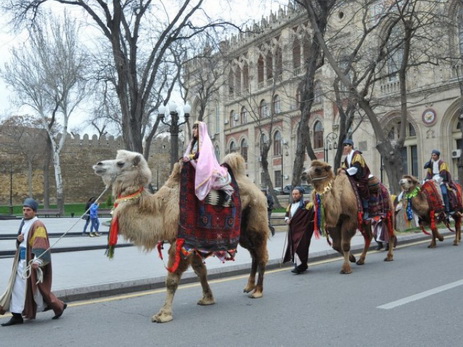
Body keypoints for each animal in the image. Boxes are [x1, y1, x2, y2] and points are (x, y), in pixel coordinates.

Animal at [93, 151, 268, 324]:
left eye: (120, 163)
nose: (98, 164)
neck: (162, 210)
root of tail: (257, 190)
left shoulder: (180, 242)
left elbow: (172, 279)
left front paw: (163, 314)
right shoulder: (191, 243)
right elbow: (200, 271)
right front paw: (208, 299)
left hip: (256, 219)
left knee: (261, 254)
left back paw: (258, 291)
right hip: (243, 232)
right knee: (254, 253)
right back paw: (249, 286)